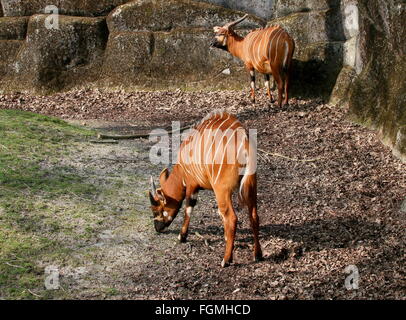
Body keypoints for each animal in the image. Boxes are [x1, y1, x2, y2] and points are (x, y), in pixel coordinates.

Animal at [150, 111, 264, 266]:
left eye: (157, 209)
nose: (157, 228)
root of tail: (245, 143)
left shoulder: (191, 184)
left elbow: (188, 208)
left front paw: (182, 236)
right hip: (251, 186)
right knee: (254, 216)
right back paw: (258, 255)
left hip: (222, 190)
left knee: (232, 218)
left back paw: (226, 260)